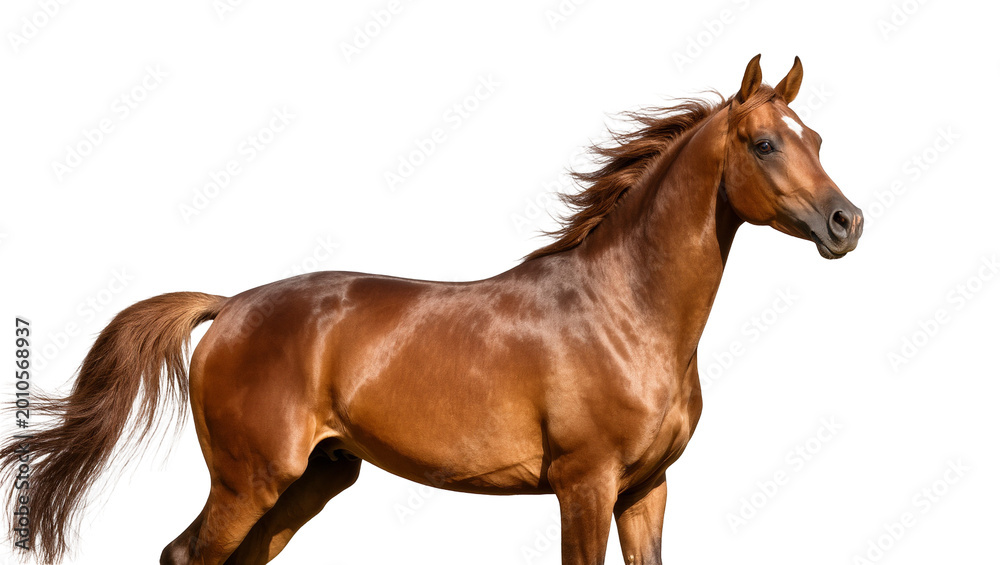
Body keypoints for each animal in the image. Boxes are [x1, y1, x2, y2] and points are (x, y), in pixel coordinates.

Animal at [1, 54, 862, 565]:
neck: (624, 314)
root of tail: (230, 308)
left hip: (310, 481)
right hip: (249, 480)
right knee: (187, 556)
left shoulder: (645, 488)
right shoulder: (585, 484)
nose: (845, 223)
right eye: (763, 143)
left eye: (817, 136)